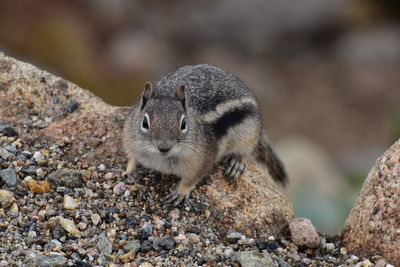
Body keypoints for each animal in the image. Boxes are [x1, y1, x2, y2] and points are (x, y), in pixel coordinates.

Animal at [122, 63, 288, 209]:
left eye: (183, 124)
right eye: (145, 122)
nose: (164, 147)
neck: (159, 159)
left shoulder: (201, 162)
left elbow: (191, 180)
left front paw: (179, 193)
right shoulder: (129, 140)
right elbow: (131, 157)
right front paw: (128, 170)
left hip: (248, 134)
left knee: (247, 150)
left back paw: (237, 162)